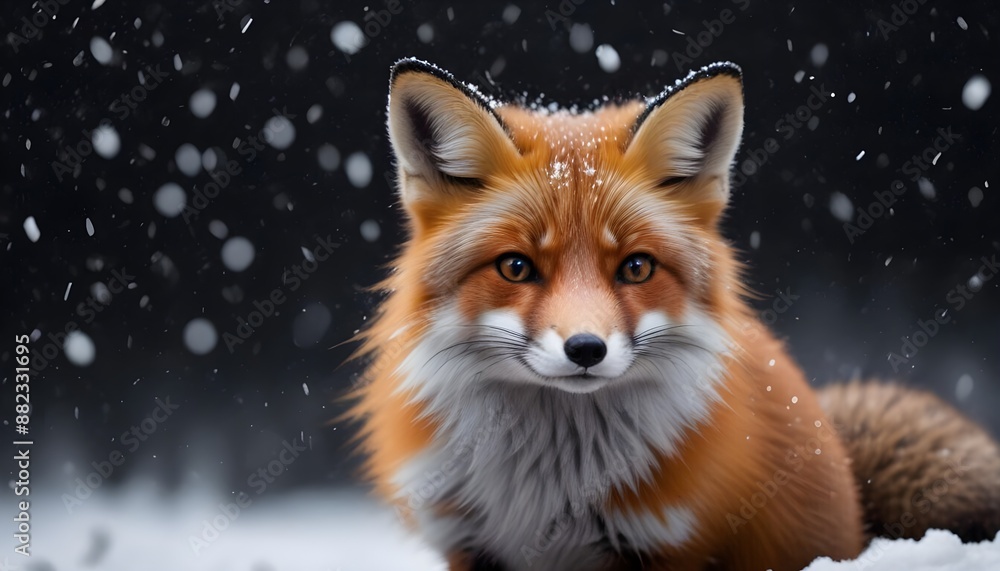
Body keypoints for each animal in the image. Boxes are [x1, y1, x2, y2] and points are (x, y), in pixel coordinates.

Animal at [349, 58, 1000, 570]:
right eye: (515, 267)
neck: (550, 490)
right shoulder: (468, 544)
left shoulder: (669, 543)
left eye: (636, 268)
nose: (586, 349)